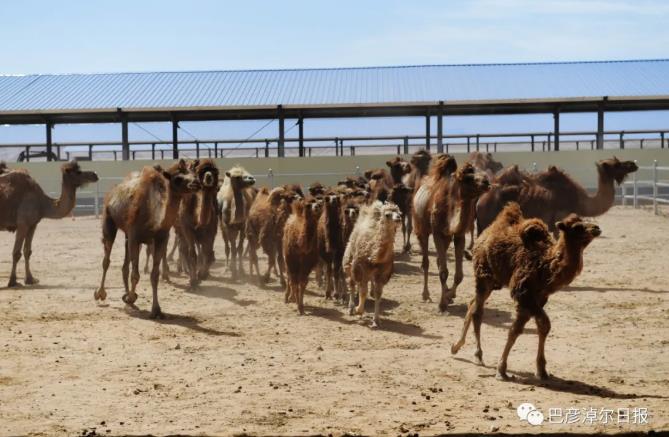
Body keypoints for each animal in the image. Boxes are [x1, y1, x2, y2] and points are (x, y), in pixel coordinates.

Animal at [94, 159, 200, 316]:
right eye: (178, 178)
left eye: (194, 172)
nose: (196, 183)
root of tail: (112, 192)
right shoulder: (135, 236)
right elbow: (135, 274)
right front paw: (131, 298)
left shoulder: (161, 238)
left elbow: (154, 274)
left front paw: (155, 309)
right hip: (109, 221)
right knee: (106, 260)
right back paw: (100, 293)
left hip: (127, 235)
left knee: (125, 266)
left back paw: (127, 298)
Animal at [410, 157, 488, 310]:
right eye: (466, 177)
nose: (486, 181)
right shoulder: (437, 232)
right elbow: (443, 272)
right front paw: (442, 303)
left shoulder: (458, 235)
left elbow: (459, 275)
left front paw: (450, 295)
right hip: (421, 229)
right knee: (426, 262)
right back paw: (426, 295)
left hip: (446, 237)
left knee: (438, 260)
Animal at [448, 203, 600, 380]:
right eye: (577, 227)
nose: (596, 228)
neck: (546, 265)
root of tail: (484, 234)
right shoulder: (522, 292)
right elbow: (519, 329)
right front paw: (502, 370)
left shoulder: (539, 296)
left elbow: (541, 326)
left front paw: (541, 370)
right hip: (483, 276)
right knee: (477, 311)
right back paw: (472, 352)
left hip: (494, 282)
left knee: (472, 304)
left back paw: (462, 349)